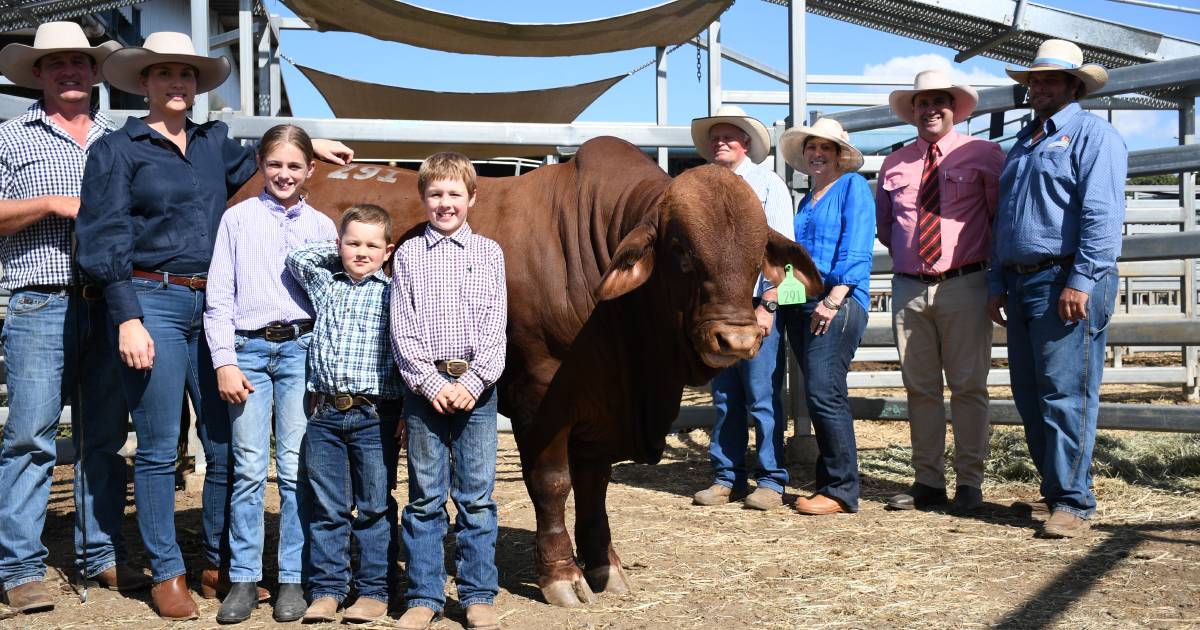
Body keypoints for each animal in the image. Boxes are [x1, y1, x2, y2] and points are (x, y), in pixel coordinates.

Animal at [229, 135, 820, 607]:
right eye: (680, 248)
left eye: (758, 251)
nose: (737, 338)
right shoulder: (542, 397)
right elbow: (553, 484)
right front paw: (562, 576)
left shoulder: (596, 408)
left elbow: (594, 488)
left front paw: (605, 567)